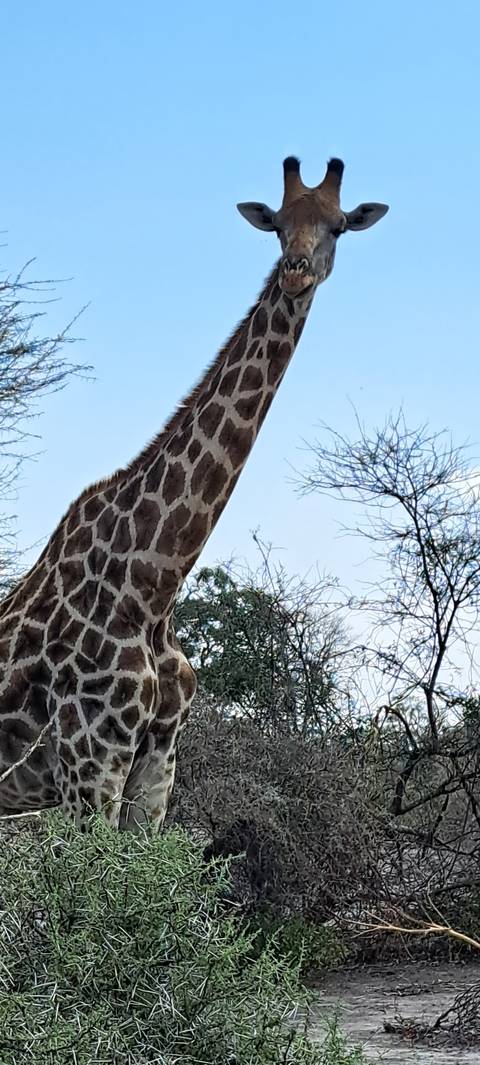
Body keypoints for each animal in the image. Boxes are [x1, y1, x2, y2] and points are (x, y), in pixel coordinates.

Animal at [0, 156, 388, 830]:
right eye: (277, 225)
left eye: (338, 226)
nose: (296, 271)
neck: (155, 581)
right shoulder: (89, 764)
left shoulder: (157, 766)